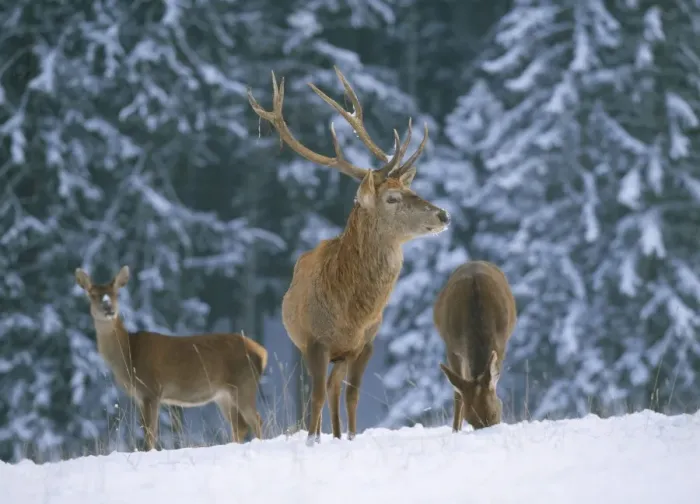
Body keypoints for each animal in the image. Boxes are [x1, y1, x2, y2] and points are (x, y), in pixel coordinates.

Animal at [75, 265, 267, 451]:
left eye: (116, 293)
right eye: (92, 295)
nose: (109, 308)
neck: (129, 355)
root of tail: (261, 352)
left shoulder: (151, 389)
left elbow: (150, 434)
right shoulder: (140, 396)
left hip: (244, 383)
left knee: (256, 419)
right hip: (224, 394)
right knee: (240, 426)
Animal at [248, 66, 450, 445]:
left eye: (412, 189)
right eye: (392, 199)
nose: (443, 214)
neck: (350, 312)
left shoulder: (365, 344)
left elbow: (352, 394)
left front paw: (352, 438)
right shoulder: (314, 342)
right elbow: (313, 397)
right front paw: (312, 441)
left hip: (341, 355)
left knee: (334, 389)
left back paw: (340, 434)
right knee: (321, 391)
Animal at [434, 260, 517, 431]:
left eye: (495, 413)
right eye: (469, 419)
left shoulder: (501, 344)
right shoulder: (451, 348)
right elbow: (458, 393)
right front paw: (455, 430)